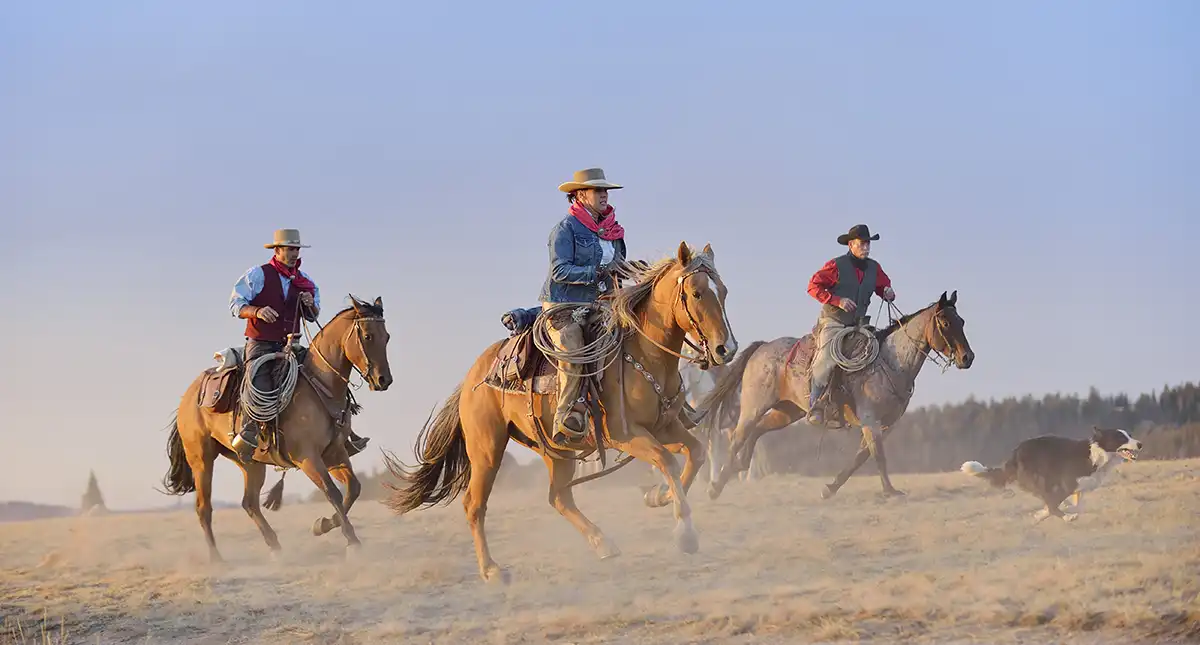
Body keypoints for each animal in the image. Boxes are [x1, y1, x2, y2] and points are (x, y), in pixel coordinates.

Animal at [159, 294, 391, 556]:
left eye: (387, 337)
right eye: (368, 336)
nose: (384, 380)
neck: (320, 385)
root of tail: (188, 397)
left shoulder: (335, 452)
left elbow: (353, 488)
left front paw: (323, 524)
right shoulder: (308, 457)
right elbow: (332, 492)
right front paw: (351, 540)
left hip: (249, 462)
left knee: (249, 503)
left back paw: (276, 547)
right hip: (201, 459)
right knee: (203, 507)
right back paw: (217, 558)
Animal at [700, 290, 969, 496]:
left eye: (962, 322)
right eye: (946, 323)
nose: (968, 357)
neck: (891, 361)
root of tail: (762, 347)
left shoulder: (886, 425)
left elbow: (860, 457)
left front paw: (830, 488)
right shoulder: (870, 419)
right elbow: (877, 455)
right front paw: (890, 491)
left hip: (788, 411)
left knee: (758, 430)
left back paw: (739, 466)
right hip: (753, 406)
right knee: (738, 437)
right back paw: (716, 486)